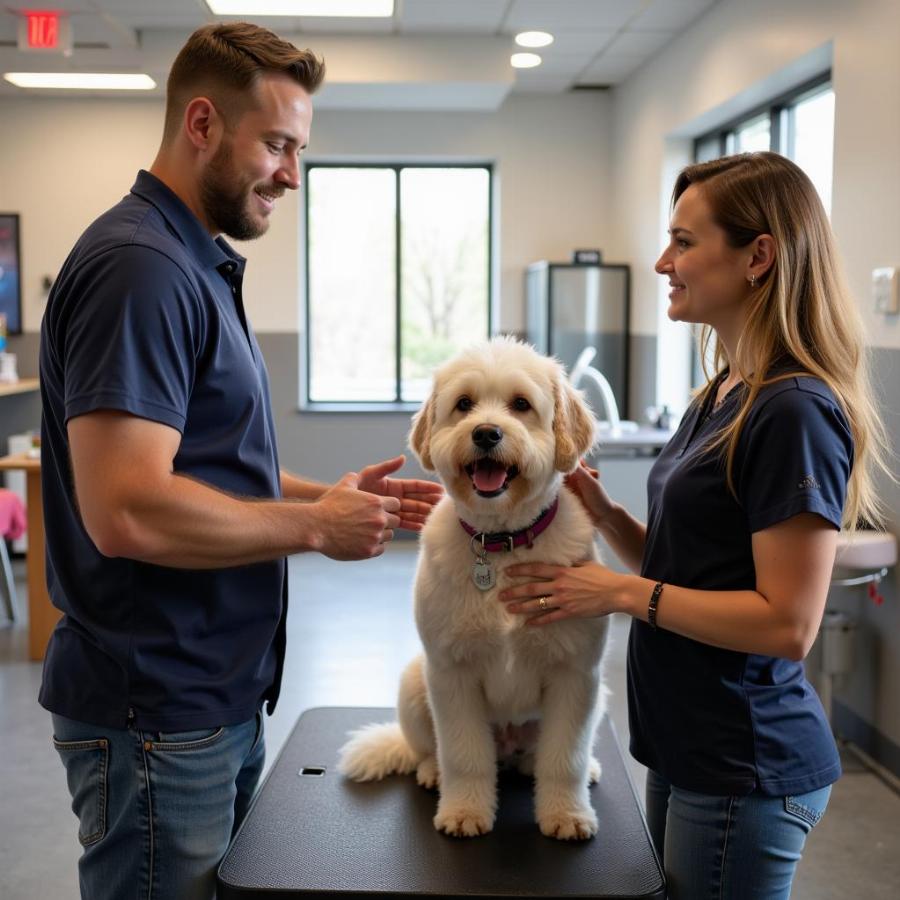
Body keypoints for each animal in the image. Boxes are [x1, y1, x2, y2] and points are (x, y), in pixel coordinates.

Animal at [340, 338, 612, 844]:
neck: (500, 544)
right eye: (464, 404)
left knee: (544, 757)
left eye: (521, 405)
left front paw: (566, 813)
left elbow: (565, 758)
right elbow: (463, 755)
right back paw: (432, 772)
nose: (486, 433)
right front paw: (465, 810)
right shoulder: (451, 672)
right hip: (415, 681)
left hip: (595, 697)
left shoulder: (575, 675)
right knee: (431, 749)